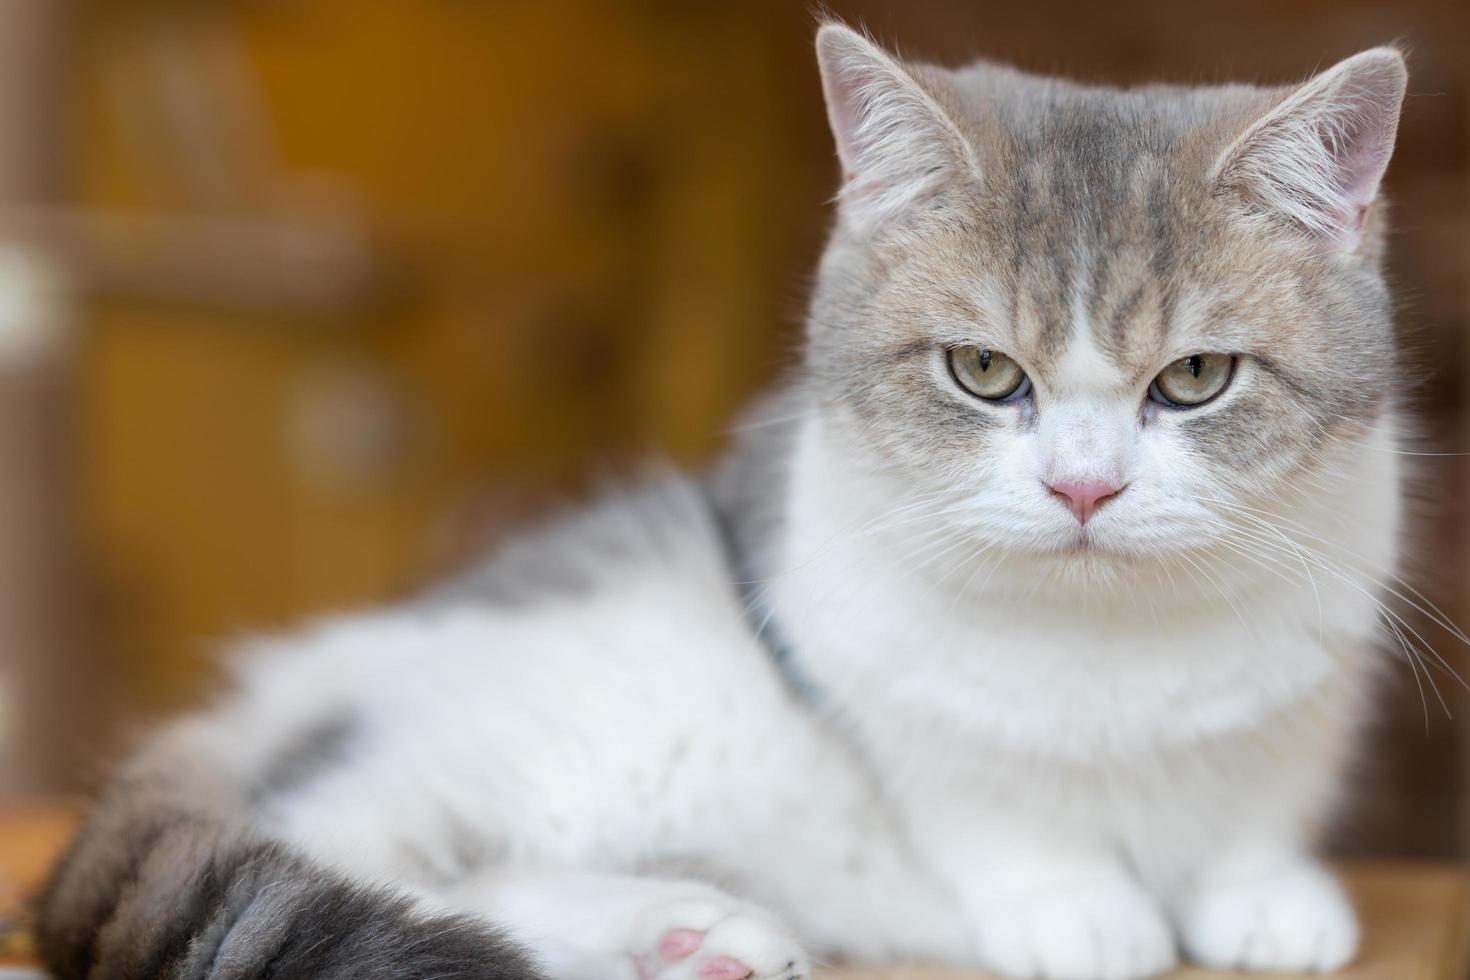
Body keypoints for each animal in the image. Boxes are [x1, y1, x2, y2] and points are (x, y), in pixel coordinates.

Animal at [37, 21, 1411, 980]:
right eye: (982, 370)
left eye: (1195, 377)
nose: (1084, 484)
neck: (1115, 639)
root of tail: (277, 686)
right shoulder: (877, 682)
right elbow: (1001, 805)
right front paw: (1078, 906)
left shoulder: (1305, 684)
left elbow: (1254, 800)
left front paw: (1261, 892)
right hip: (566, 719)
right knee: (341, 839)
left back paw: (682, 934)